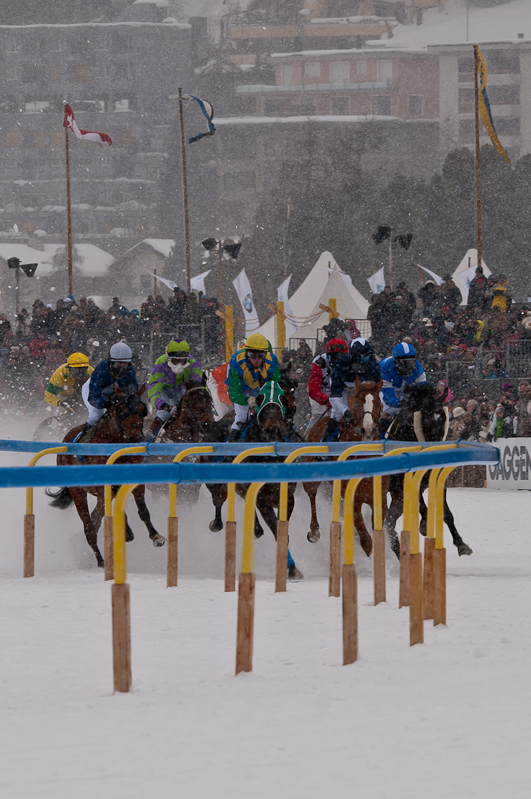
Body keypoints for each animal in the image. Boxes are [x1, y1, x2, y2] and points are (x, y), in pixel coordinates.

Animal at [46, 386, 165, 568]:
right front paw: (127, 532)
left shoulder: (136, 483)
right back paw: (101, 560)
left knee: (96, 519)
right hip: (78, 492)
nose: (137, 437)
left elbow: (143, 511)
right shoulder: (104, 487)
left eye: (142, 409)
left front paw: (156, 536)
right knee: (89, 526)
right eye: (121, 410)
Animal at [304, 380, 386, 556]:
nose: (368, 430)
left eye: (378, 402)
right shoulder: (352, 498)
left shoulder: (379, 497)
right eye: (358, 402)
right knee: (311, 493)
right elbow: (367, 541)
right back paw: (314, 532)